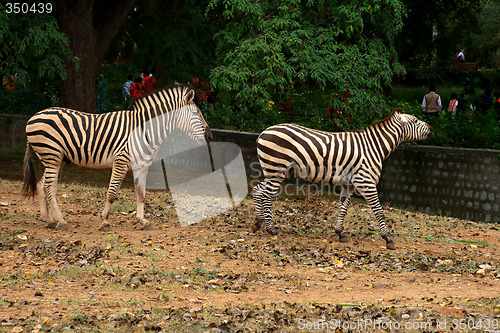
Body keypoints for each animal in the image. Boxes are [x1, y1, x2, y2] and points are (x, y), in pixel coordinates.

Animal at [22, 84, 211, 231]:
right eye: (197, 114)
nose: (210, 136)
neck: (145, 129)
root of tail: (33, 116)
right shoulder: (121, 160)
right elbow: (112, 192)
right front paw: (105, 221)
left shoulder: (142, 165)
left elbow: (141, 193)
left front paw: (142, 221)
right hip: (52, 156)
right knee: (50, 187)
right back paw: (61, 221)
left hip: (56, 159)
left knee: (42, 185)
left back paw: (49, 220)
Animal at [254, 109, 434, 249]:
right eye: (415, 121)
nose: (432, 129)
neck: (373, 147)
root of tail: (263, 132)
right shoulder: (366, 182)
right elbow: (379, 210)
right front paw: (388, 238)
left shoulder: (349, 184)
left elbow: (343, 209)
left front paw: (340, 233)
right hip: (277, 168)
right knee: (267, 196)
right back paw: (271, 229)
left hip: (275, 171)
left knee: (258, 190)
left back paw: (258, 222)